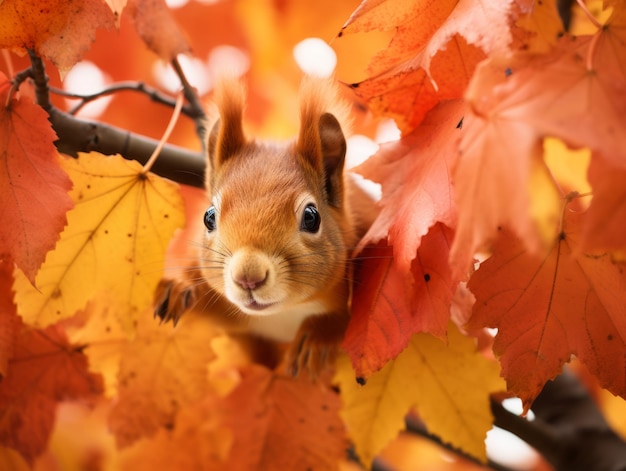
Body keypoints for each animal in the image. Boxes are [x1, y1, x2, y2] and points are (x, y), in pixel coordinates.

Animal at [155, 76, 376, 380]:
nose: (248, 277)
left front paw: (317, 338)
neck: (282, 314)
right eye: (208, 217)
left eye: (311, 217)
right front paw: (177, 286)